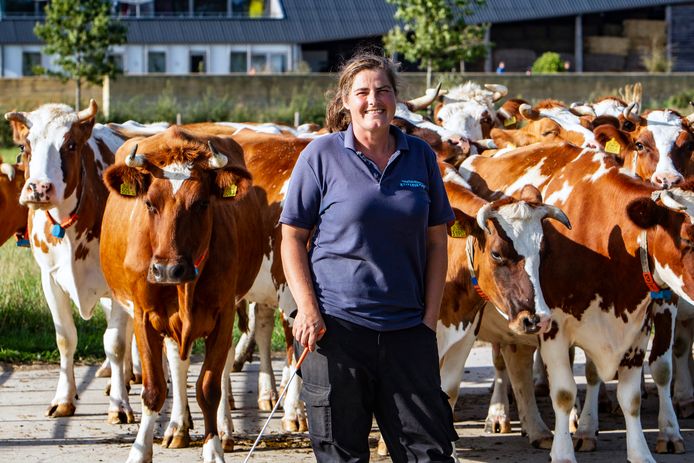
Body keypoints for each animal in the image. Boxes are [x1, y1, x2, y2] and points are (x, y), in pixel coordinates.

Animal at [4, 100, 134, 424]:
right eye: (25, 146)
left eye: (71, 144)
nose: (38, 189)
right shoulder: (49, 279)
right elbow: (66, 338)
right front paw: (64, 399)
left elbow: (115, 342)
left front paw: (119, 405)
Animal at [101, 128, 266, 463]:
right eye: (150, 204)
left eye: (202, 204)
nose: (168, 270)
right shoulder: (143, 317)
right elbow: (153, 389)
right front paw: (140, 450)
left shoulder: (223, 316)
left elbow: (209, 388)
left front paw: (214, 449)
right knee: (177, 366)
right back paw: (177, 426)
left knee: (222, 366)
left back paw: (224, 429)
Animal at [462, 141, 694, 463]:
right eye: (687, 238)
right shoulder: (551, 327)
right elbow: (563, 393)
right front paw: (563, 453)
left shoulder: (637, 327)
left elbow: (632, 396)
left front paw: (643, 452)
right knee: (503, 365)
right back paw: (502, 417)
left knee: (517, 364)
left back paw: (537, 430)